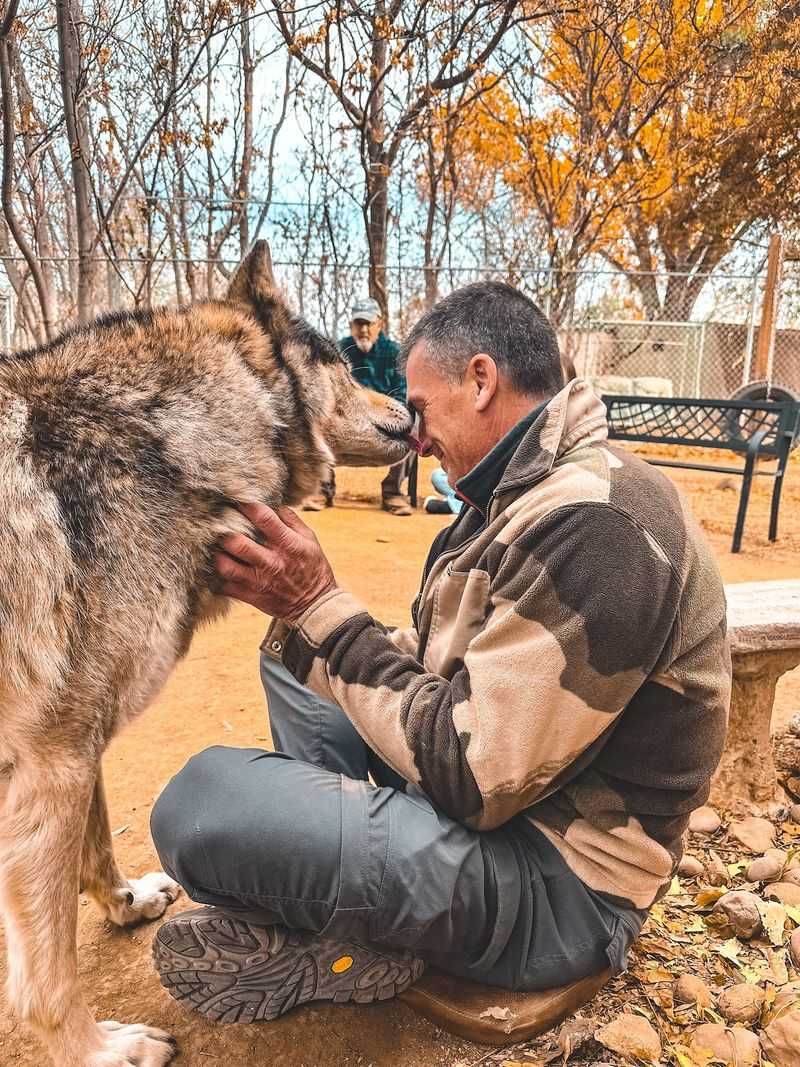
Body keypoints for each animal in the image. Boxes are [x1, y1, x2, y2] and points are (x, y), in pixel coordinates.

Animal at [0, 242, 412, 1067]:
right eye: (340, 362)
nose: (411, 413)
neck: (165, 441)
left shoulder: (77, 749)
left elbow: (97, 850)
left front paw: (127, 904)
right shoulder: (51, 762)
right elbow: (45, 981)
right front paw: (101, 1051)